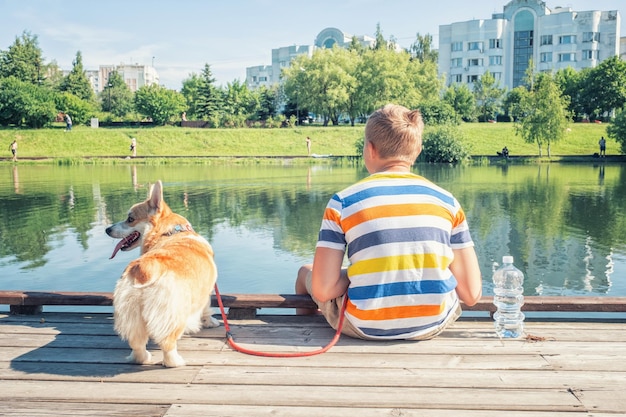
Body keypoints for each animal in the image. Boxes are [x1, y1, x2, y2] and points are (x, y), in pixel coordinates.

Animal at [105, 180, 217, 366]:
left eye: (130, 219)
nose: (107, 229)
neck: (169, 232)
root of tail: (144, 268)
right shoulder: (205, 291)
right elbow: (206, 308)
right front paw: (211, 322)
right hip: (174, 311)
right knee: (168, 342)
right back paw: (176, 361)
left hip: (131, 313)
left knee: (136, 343)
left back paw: (142, 358)